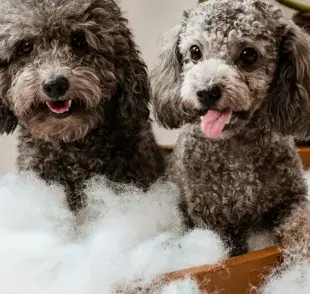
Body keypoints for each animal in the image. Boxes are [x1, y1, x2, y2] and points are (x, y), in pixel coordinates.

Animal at [151, 0, 310, 256]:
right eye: (195, 51)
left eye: (249, 55)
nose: (207, 91)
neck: (236, 150)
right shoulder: (211, 219)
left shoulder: (291, 198)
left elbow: (302, 219)